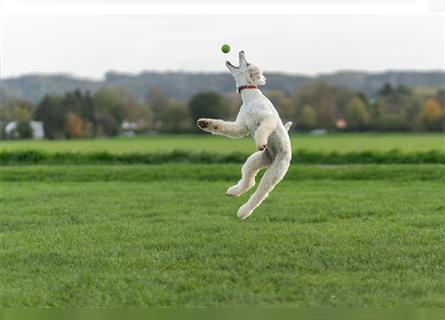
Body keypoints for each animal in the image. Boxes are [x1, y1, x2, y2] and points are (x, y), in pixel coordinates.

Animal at [198, 50, 292, 220]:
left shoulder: (268, 118)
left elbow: (263, 129)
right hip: (256, 160)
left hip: (275, 172)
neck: (250, 96)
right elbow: (224, 126)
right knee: (249, 181)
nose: (241, 51)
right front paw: (204, 123)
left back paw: (243, 212)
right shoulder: (241, 126)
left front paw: (261, 142)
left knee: (260, 192)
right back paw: (233, 192)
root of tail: (275, 156)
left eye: (247, 63)